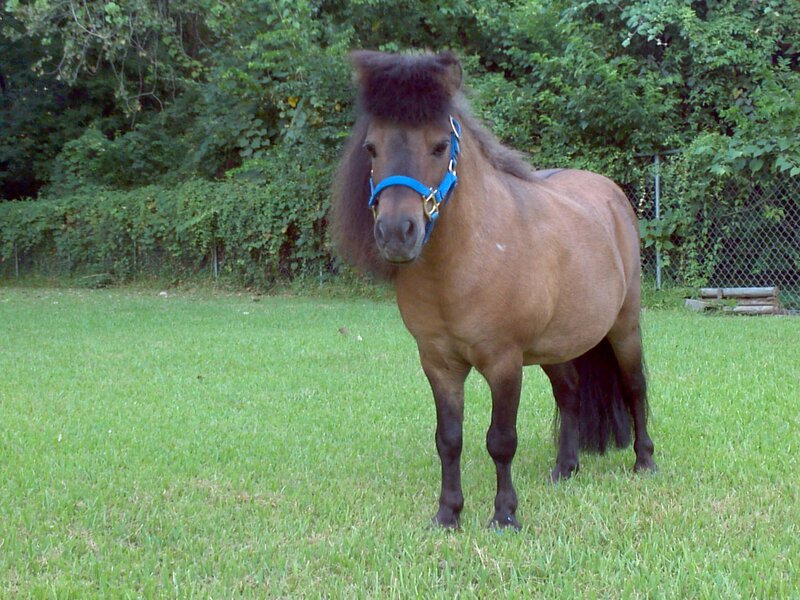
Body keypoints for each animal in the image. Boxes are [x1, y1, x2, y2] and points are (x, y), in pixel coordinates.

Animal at [330, 50, 655, 529]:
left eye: (439, 146)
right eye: (372, 148)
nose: (396, 233)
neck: (462, 264)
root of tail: (612, 194)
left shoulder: (504, 363)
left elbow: (501, 440)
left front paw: (504, 515)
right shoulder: (439, 363)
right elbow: (449, 438)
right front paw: (448, 513)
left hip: (623, 328)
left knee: (634, 387)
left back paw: (645, 462)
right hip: (557, 345)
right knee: (570, 393)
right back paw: (565, 467)